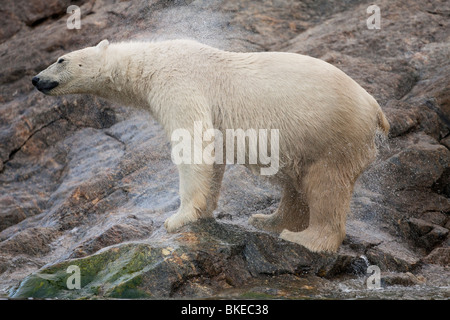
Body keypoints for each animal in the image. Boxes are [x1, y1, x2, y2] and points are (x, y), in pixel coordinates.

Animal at [32, 38, 390, 252]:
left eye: (60, 59)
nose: (36, 79)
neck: (151, 61)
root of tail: (375, 109)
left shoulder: (178, 83)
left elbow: (192, 143)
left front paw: (176, 219)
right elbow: (212, 156)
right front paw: (203, 212)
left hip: (332, 134)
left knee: (325, 184)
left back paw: (305, 238)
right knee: (297, 184)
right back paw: (268, 220)